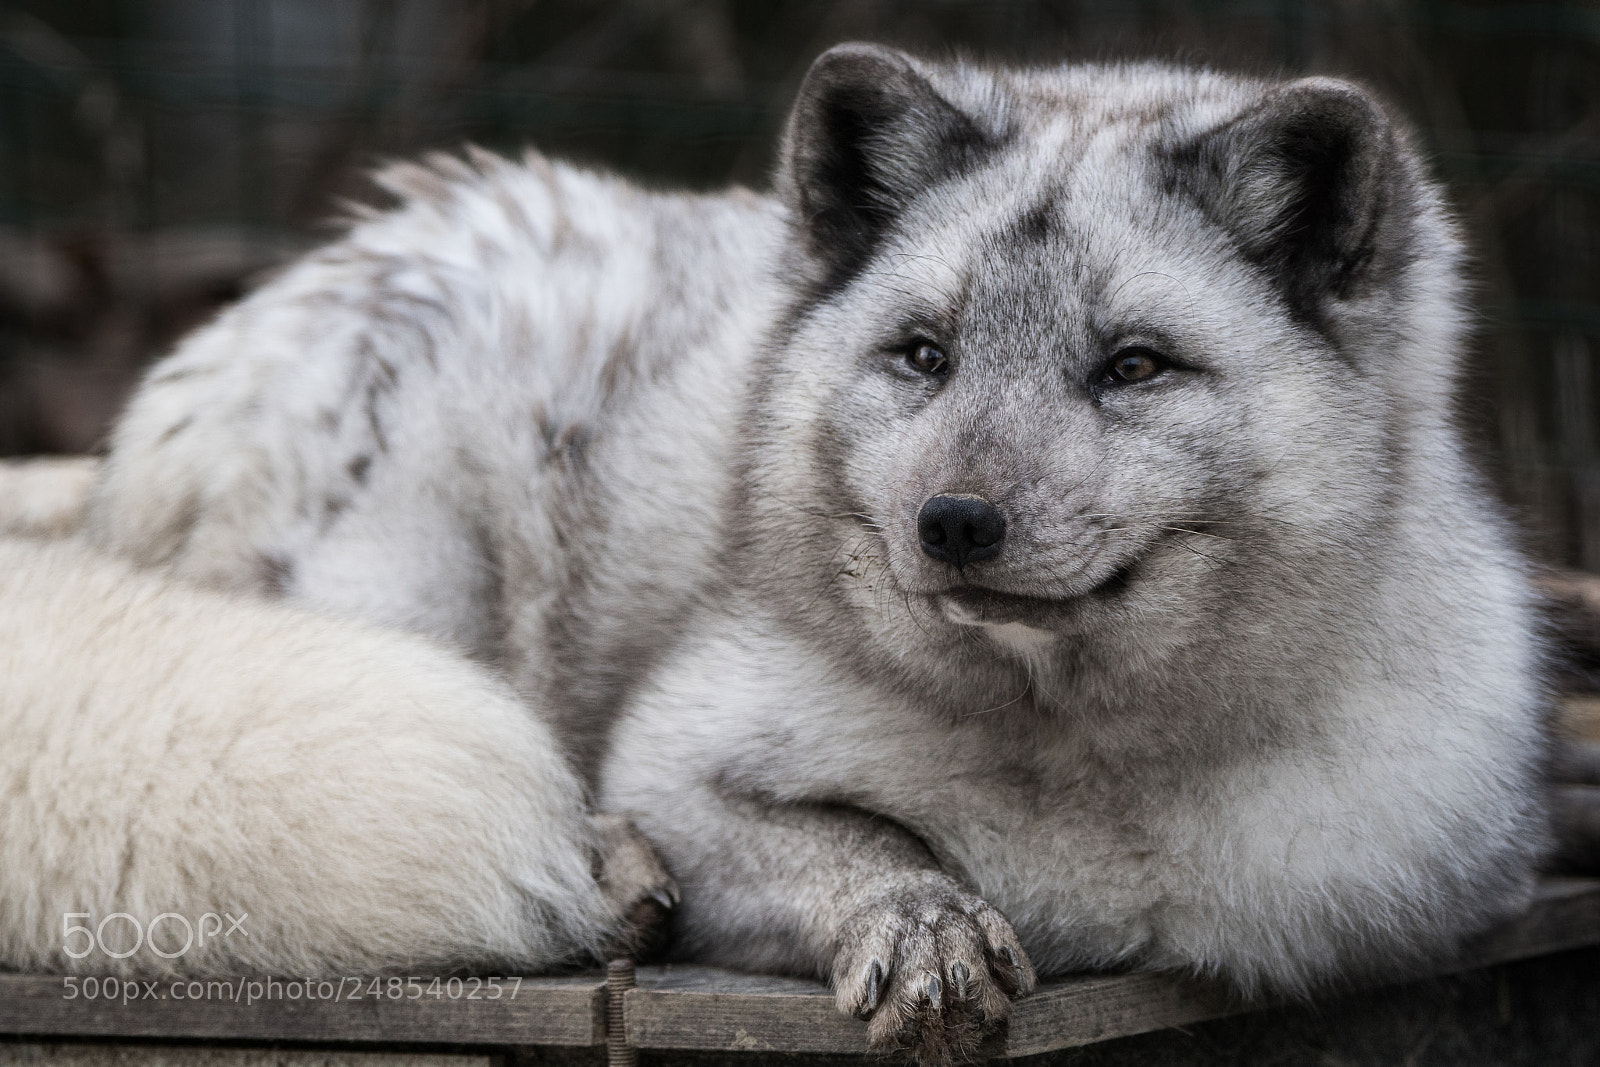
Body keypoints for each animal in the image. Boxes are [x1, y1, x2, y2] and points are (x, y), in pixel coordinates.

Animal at [1, 44, 1551, 1064]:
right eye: (921, 356)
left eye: (1133, 366)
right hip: (407, 560)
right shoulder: (678, 754)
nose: (953, 521)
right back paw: (604, 871)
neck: (1074, 760)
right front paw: (921, 918)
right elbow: (849, 836)